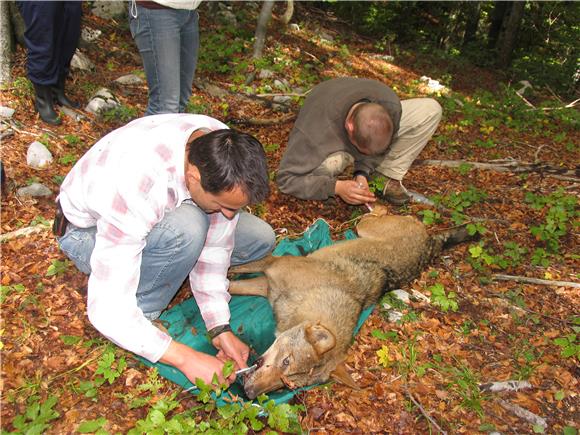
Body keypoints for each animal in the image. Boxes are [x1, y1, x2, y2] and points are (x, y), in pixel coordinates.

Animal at [227, 206, 476, 400]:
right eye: (286, 361)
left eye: (286, 384)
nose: (249, 393)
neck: (312, 294)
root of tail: (431, 244)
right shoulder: (270, 267)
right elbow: (230, 275)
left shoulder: (266, 283)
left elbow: (229, 285)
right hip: (365, 227)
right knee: (377, 215)